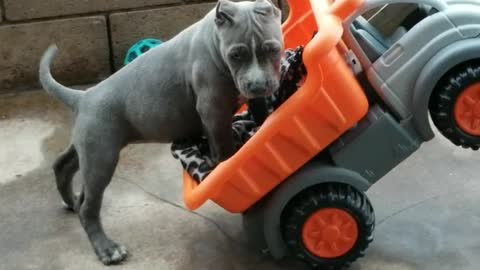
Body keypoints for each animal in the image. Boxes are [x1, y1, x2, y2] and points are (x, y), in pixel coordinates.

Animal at [40, 0, 284, 266]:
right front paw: (229, 163)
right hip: (101, 156)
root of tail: (83, 96)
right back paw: (107, 249)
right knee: (88, 206)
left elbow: (259, 110)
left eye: (273, 49)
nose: (257, 85)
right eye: (235, 55)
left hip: (88, 146)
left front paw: (263, 123)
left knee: (63, 165)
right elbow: (223, 146)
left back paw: (70, 200)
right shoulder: (213, 109)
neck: (214, 39)